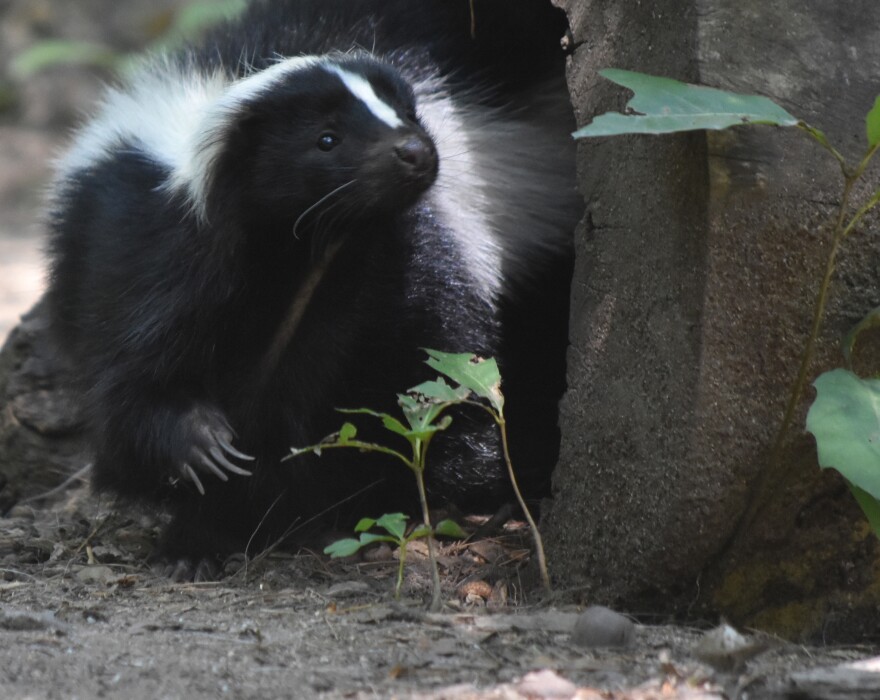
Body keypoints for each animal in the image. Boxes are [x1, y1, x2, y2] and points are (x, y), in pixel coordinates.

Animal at [49, 0, 584, 580]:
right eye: (327, 139)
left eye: (406, 115)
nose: (414, 150)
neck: (305, 259)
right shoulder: (148, 256)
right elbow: (132, 388)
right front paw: (202, 469)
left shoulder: (409, 277)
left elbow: (430, 391)